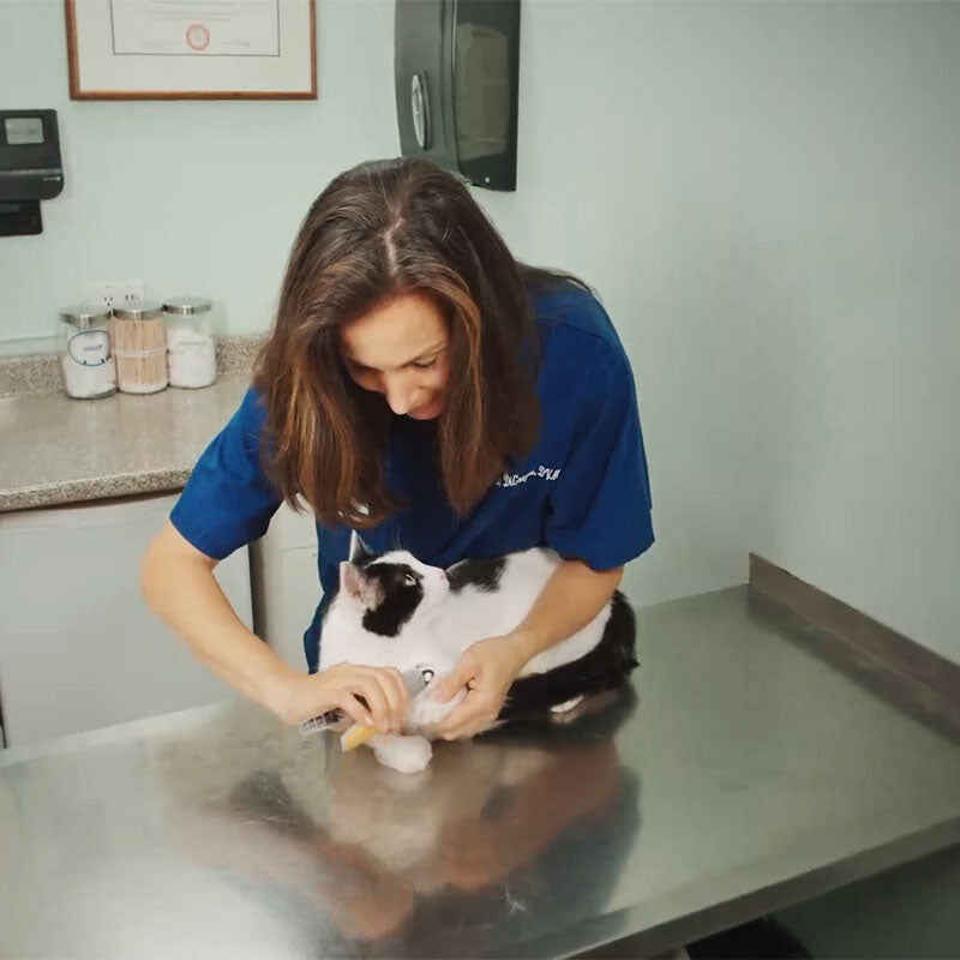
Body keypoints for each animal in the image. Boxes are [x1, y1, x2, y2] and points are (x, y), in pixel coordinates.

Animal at [316, 540, 636, 772]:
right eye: (409, 580)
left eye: (417, 560)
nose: (442, 572)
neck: (386, 649)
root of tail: (615, 599)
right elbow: (367, 733)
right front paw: (406, 749)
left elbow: (441, 706)